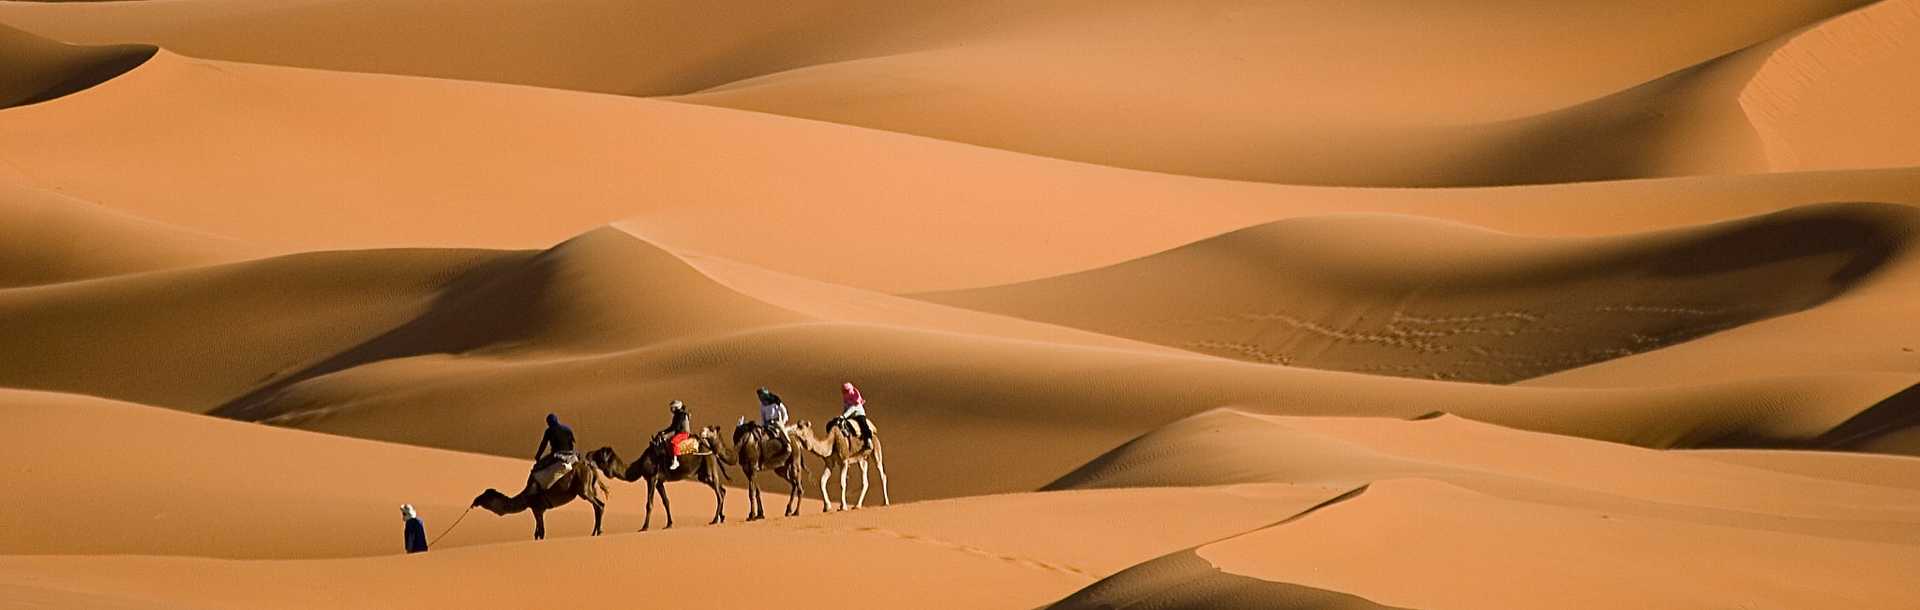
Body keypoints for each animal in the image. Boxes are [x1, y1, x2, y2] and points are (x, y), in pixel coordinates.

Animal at [470, 454, 606, 540]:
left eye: (486, 497)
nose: (475, 501)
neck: (526, 497)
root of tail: (590, 467)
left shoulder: (537, 508)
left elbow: (541, 532)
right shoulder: (539, 510)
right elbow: (536, 533)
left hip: (583, 489)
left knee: (599, 505)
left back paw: (598, 532)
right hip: (590, 487)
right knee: (598, 505)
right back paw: (595, 533)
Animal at [579, 425, 729, 533]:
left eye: (599, 454)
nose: (588, 454)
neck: (639, 465)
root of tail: (712, 450)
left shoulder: (651, 478)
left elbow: (649, 504)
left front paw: (644, 527)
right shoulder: (659, 482)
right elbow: (666, 501)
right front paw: (669, 524)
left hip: (707, 464)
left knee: (719, 493)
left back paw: (714, 520)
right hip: (703, 472)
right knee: (722, 489)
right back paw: (721, 518)